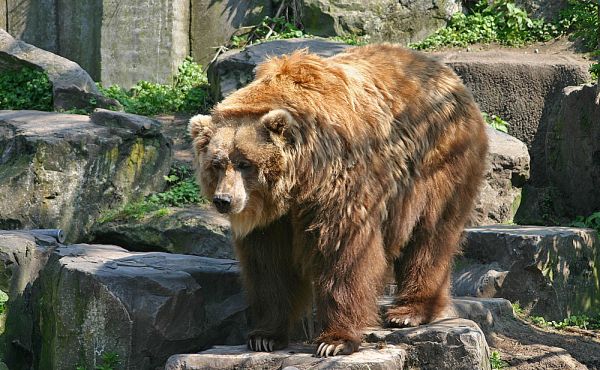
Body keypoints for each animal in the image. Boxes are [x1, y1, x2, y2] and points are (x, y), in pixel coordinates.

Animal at [190, 44, 490, 358]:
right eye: (216, 163)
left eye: (244, 163)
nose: (224, 200)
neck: (300, 180)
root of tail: (448, 73)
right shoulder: (273, 220)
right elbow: (269, 264)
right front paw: (264, 335)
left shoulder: (339, 180)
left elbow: (343, 252)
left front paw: (334, 340)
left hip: (439, 161)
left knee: (430, 234)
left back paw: (408, 311)